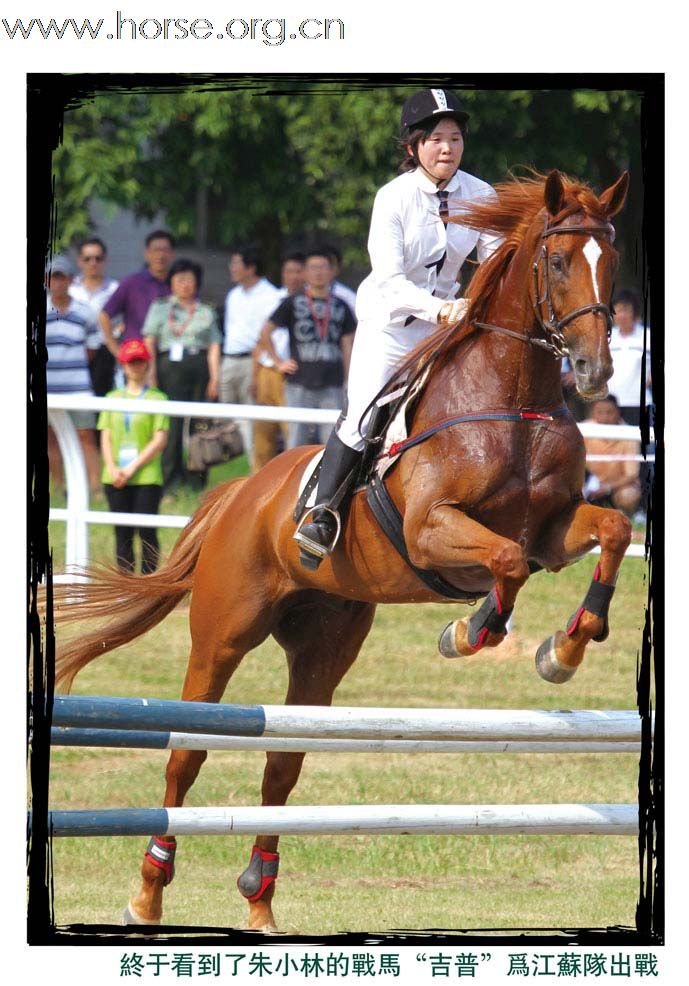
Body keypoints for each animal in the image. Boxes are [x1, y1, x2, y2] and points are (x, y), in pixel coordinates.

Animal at [53, 169, 632, 932]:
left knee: (283, 762)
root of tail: (240, 493)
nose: (594, 371)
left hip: (323, 648)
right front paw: (469, 630)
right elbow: (503, 564)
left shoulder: (553, 529)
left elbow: (613, 532)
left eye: (612, 259)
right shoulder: (433, 530)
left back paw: (260, 901)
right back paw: (148, 895)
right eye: (559, 261)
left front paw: (564, 648)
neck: (512, 400)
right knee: (187, 754)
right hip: (222, 634)